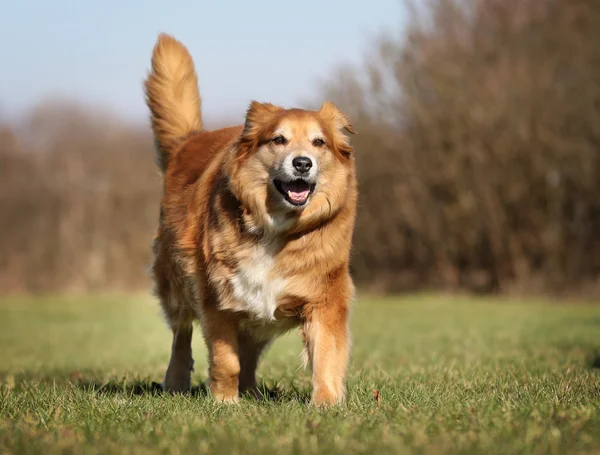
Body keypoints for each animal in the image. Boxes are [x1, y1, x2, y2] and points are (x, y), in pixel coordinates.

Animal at [144, 33, 356, 408]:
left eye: (319, 142)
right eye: (278, 139)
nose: (303, 163)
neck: (277, 227)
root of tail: (190, 140)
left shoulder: (325, 295)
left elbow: (326, 353)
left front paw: (326, 404)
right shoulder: (219, 297)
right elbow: (225, 358)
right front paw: (225, 402)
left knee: (250, 349)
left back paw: (253, 392)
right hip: (176, 280)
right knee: (182, 334)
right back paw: (178, 381)